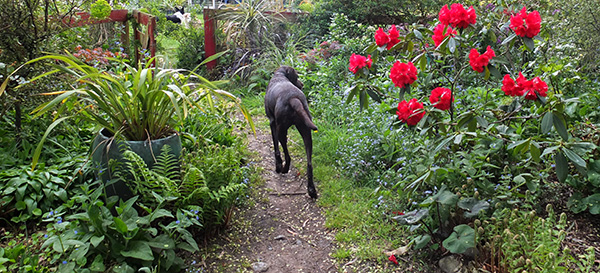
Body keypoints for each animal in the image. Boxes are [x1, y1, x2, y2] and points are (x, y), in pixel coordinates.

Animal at [264, 66, 318, 198]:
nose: (302, 84)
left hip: (281, 130)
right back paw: (311, 190)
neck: (279, 75)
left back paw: (283, 169)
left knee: (287, 155)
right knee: (309, 164)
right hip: (306, 132)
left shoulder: (272, 122)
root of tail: (294, 99)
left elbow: (276, 148)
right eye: (297, 76)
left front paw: (278, 165)